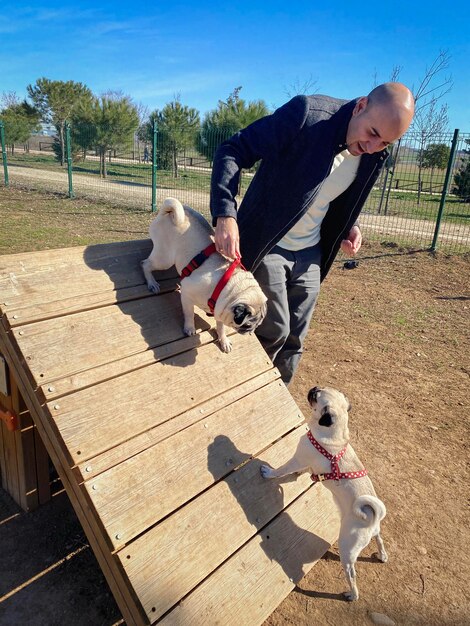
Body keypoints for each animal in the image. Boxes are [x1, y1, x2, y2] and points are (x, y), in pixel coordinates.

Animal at [141, 195, 266, 352]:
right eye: (248, 325)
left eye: (257, 325)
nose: (251, 331)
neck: (225, 284)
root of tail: (168, 213)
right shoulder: (187, 293)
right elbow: (189, 314)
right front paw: (189, 328)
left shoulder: (221, 310)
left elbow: (221, 326)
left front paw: (223, 340)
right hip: (165, 259)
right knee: (145, 264)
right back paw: (152, 283)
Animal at [258, 386, 388, 600]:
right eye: (318, 390)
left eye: (316, 397)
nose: (313, 388)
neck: (337, 437)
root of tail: (371, 518)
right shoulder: (305, 463)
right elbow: (302, 471)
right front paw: (302, 475)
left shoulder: (297, 458)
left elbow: (281, 470)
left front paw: (269, 473)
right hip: (374, 532)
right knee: (379, 538)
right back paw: (382, 555)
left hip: (346, 548)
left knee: (351, 573)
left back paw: (352, 594)